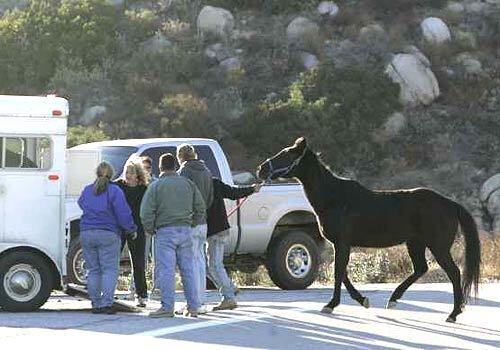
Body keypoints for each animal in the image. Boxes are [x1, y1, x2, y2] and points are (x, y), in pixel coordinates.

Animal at [258, 137, 480, 322]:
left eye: (286, 154)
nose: (261, 169)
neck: (335, 198)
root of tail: (450, 204)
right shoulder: (341, 245)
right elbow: (342, 273)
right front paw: (362, 300)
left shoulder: (343, 243)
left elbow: (339, 273)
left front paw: (331, 305)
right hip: (415, 244)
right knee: (421, 269)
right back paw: (394, 300)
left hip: (438, 247)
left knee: (454, 273)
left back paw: (453, 314)